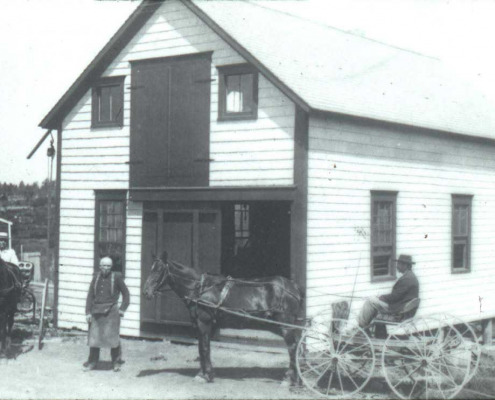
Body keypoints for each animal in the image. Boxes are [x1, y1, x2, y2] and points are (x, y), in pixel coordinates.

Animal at [143, 250, 304, 384]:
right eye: (151, 269)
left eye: (159, 270)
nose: (146, 292)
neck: (200, 288)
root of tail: (293, 286)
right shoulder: (205, 325)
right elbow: (202, 348)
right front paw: (203, 373)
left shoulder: (204, 323)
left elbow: (204, 348)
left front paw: (206, 375)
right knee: (296, 346)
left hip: (285, 325)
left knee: (292, 347)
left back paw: (289, 378)